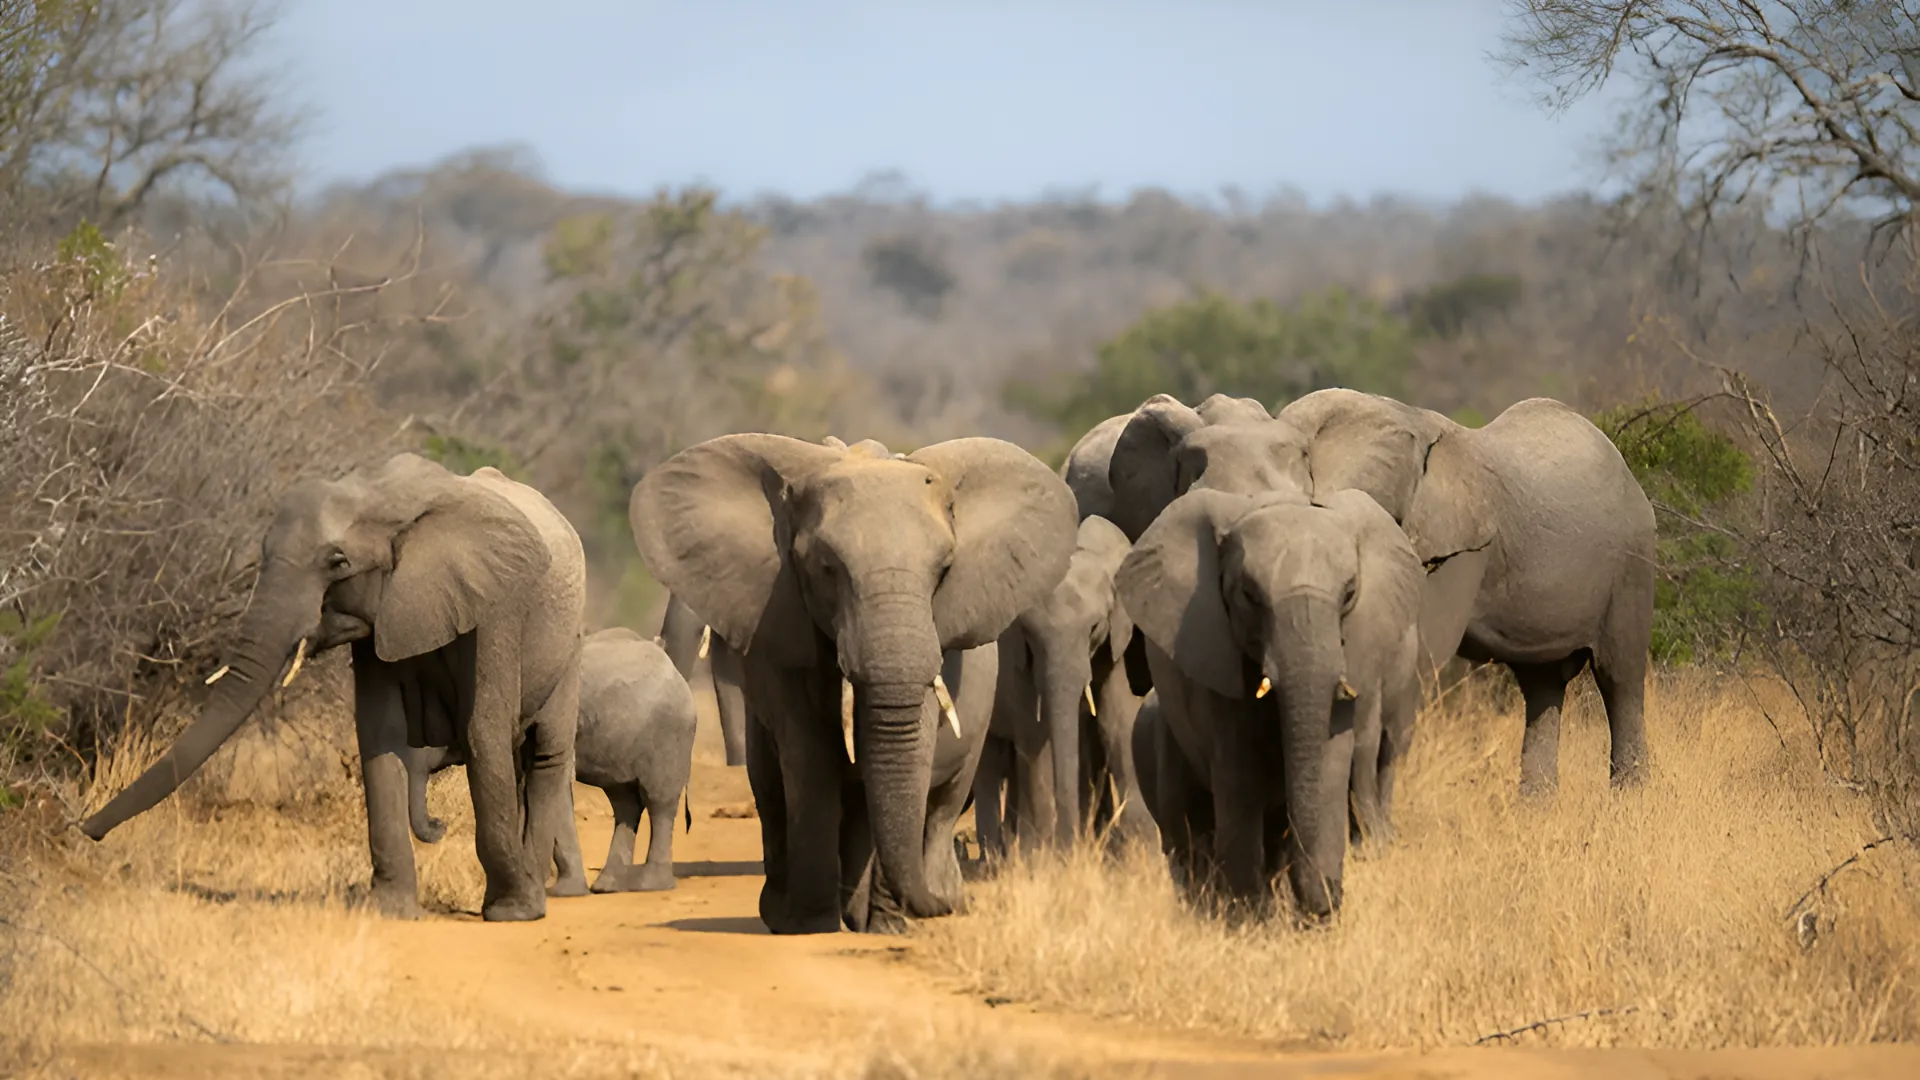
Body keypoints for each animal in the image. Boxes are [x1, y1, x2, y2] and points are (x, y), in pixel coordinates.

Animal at [78, 454, 588, 922]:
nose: (85, 829)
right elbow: (380, 734)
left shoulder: (497, 606)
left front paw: (510, 913)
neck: (384, 497)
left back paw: (531, 900)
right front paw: (389, 912)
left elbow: (484, 731)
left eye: (338, 562)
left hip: (571, 645)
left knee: (544, 755)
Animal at [405, 626, 697, 894]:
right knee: (624, 801)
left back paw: (650, 885)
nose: (439, 825)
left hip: (670, 735)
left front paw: (559, 891)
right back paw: (608, 886)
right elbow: (521, 787)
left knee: (659, 802)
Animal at [630, 433, 1077, 934]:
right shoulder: (785, 628)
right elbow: (810, 760)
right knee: (772, 787)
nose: (949, 908)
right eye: (826, 568)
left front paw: (887, 926)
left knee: (939, 801)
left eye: (944, 570)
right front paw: (813, 927)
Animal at [972, 514, 1156, 857]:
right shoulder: (1017, 658)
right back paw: (995, 858)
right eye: (1029, 634)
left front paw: (1142, 847)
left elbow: (1116, 721)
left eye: (1094, 627)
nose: (1071, 845)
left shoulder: (1116, 641)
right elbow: (1034, 734)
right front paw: (1041, 858)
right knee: (989, 760)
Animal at [1116, 485, 1423, 920]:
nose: (1328, 901)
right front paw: (1249, 918)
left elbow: (1330, 763)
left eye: (1349, 594)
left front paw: (1313, 914)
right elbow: (1240, 774)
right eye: (1249, 595)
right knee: (1184, 830)